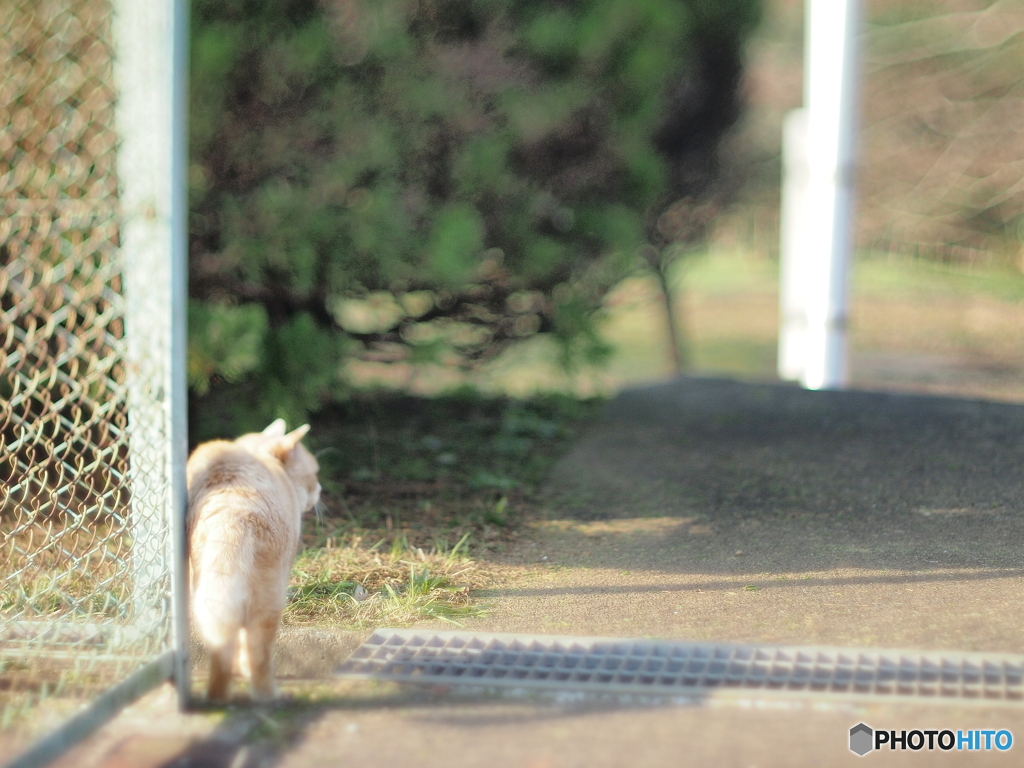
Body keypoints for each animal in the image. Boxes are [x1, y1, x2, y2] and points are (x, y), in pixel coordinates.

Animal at [187, 421, 319, 704]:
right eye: (315, 473)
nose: (320, 489)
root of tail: (232, 511)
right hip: (269, 603)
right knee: (259, 655)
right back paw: (268, 696)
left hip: (207, 597)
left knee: (221, 650)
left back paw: (216, 698)